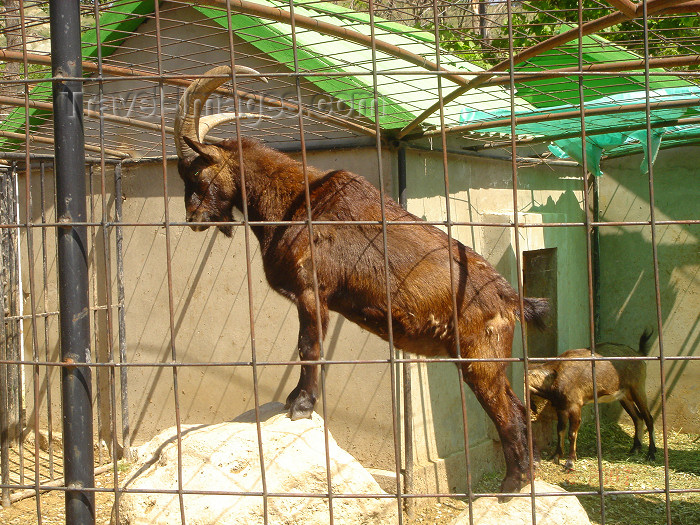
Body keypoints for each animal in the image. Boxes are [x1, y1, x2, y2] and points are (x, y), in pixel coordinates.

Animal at [174, 65, 548, 492]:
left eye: (196, 173)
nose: (193, 220)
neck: (296, 201)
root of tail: (509, 298)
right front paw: (294, 401)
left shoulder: (311, 291)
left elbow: (309, 348)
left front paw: (300, 406)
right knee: (516, 405)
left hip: (480, 358)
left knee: (508, 412)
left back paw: (511, 485)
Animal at [532, 330, 656, 468]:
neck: (554, 375)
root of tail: (638, 354)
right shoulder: (561, 408)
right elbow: (560, 430)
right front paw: (556, 456)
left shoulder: (575, 406)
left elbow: (572, 433)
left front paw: (570, 461)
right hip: (624, 396)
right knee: (638, 418)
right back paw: (635, 448)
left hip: (638, 388)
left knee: (648, 418)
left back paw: (651, 454)